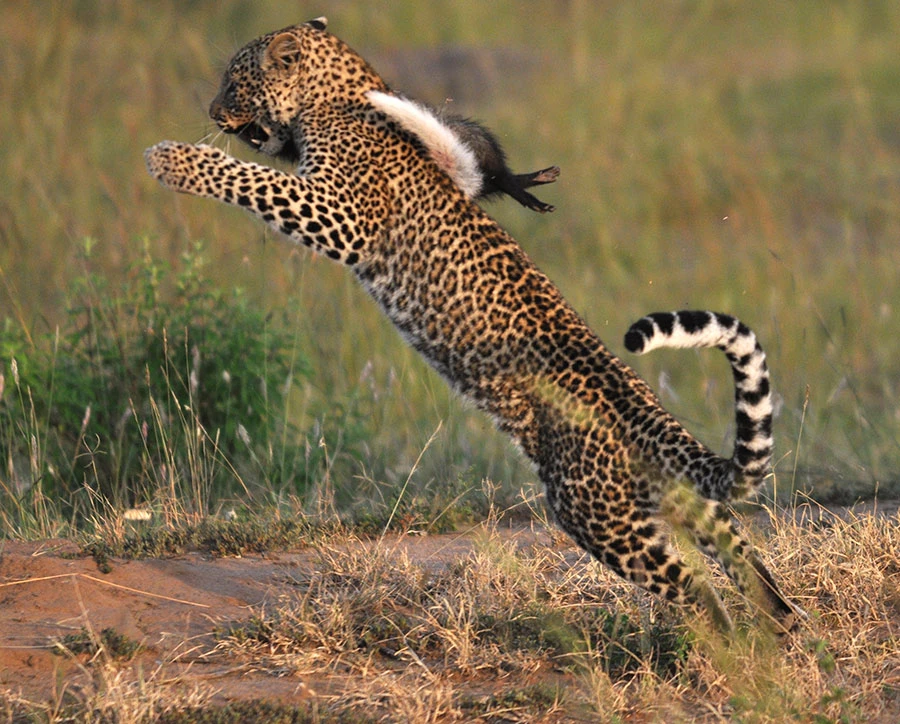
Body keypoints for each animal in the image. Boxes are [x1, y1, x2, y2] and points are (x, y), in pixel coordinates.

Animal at [145, 17, 805, 635]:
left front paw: (172, 159)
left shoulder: (341, 213)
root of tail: (646, 414)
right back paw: (778, 641)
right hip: (683, 506)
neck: (338, 91)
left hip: (598, 515)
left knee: (702, 598)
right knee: (752, 572)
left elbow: (252, 180)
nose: (212, 111)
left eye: (235, 81)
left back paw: (726, 656)